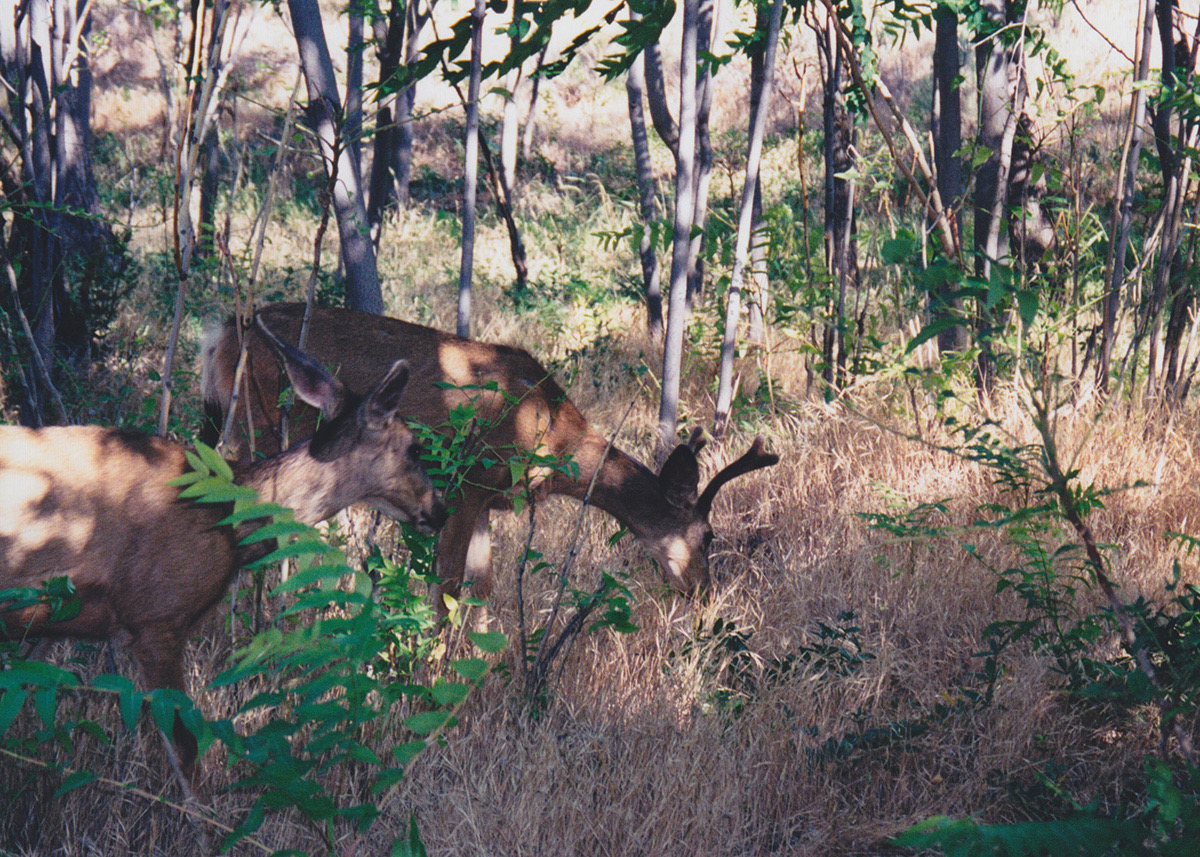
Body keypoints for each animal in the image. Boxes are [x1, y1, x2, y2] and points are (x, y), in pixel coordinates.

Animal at [0, 316, 448, 782]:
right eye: (415, 448)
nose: (440, 511)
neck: (225, 518)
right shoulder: (156, 617)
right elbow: (185, 750)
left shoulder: (55, 621)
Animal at [199, 300, 777, 607]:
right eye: (708, 535)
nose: (705, 594)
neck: (552, 435)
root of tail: (221, 332)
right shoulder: (466, 485)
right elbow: (448, 590)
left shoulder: (486, 502)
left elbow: (482, 592)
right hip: (262, 425)